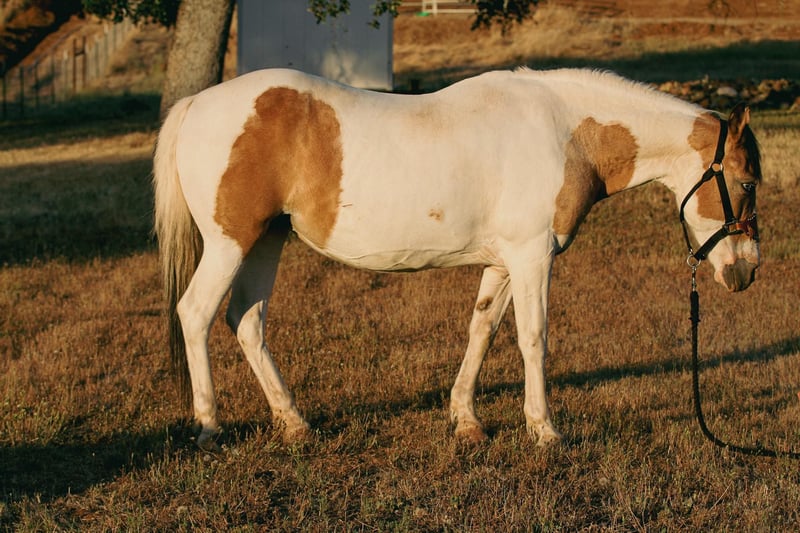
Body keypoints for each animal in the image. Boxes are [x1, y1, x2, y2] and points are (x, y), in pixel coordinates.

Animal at [153, 68, 761, 450]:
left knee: (247, 321)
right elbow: (533, 339)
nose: (747, 270)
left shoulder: (504, 262)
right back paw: (209, 426)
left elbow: (482, 331)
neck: (566, 133)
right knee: (196, 314)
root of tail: (198, 103)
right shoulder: (533, 257)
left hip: (266, 241)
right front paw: (545, 430)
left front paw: (466, 420)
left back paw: (295, 424)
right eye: (749, 181)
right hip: (231, 243)